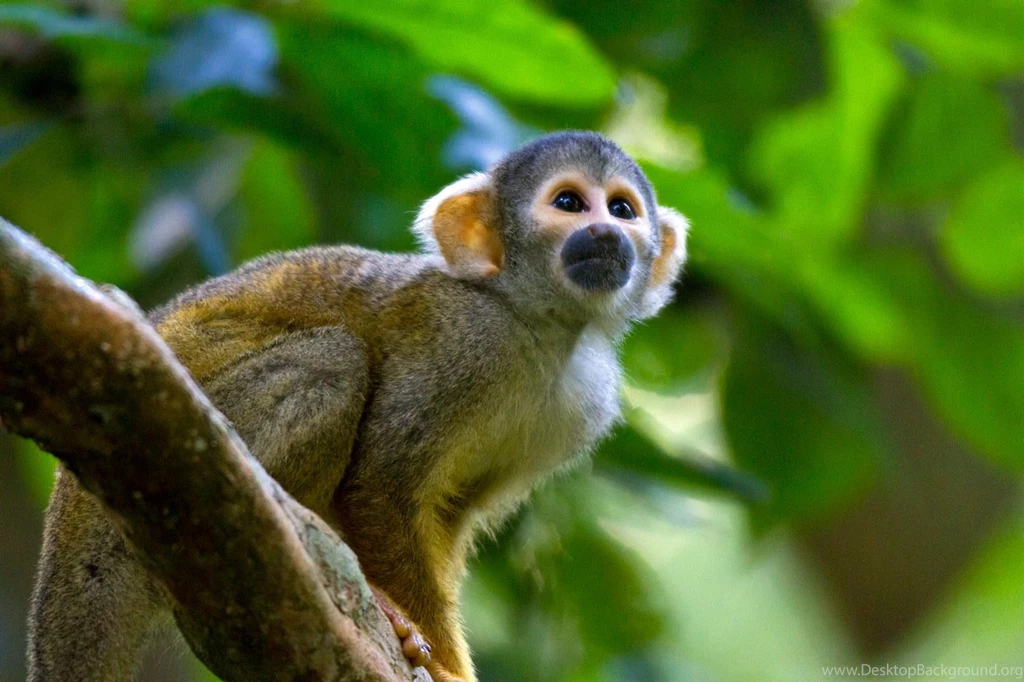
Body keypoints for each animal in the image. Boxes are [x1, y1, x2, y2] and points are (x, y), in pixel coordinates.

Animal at [26, 131, 688, 682]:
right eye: (569, 203)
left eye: (622, 209)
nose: (605, 233)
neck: (538, 323)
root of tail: (71, 505)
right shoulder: (463, 342)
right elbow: (380, 486)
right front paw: (444, 664)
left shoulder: (582, 407)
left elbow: (447, 515)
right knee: (334, 363)